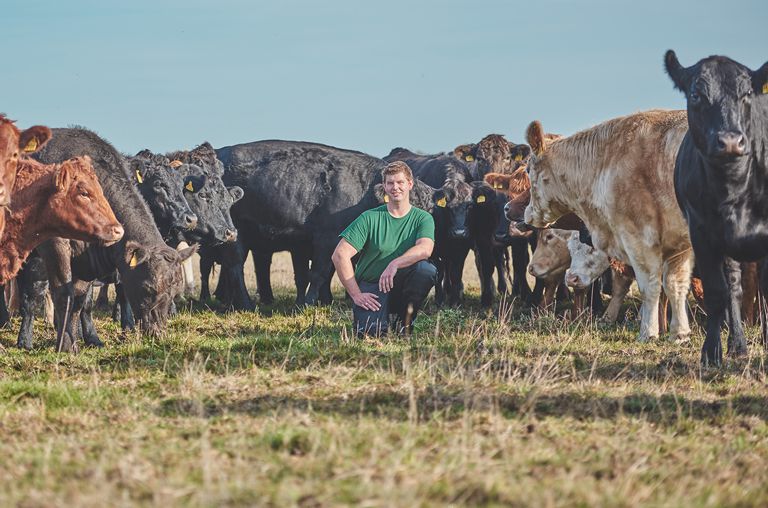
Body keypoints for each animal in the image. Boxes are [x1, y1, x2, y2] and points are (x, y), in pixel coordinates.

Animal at [520, 109, 696, 344]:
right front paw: (680, 334)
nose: (527, 214)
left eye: (528, 170)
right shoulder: (678, 244)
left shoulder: (639, 237)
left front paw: (648, 332)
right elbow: (675, 285)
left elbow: (650, 287)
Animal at [660, 50, 768, 366]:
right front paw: (711, 353)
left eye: (747, 93)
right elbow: (718, 293)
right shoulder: (702, 233)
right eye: (696, 95)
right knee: (733, 287)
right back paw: (738, 345)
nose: (730, 141)